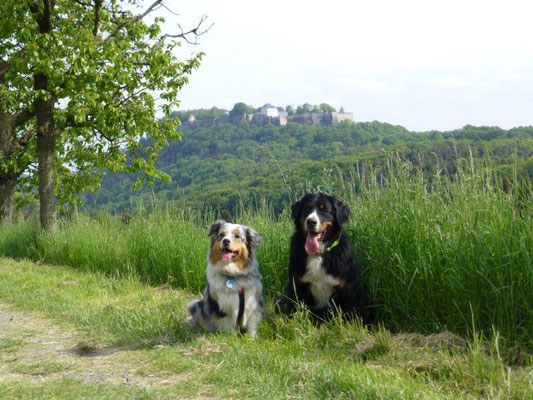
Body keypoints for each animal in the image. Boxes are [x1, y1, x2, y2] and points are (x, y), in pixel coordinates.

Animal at [274, 194, 370, 322]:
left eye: (324, 210)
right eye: (307, 209)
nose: (311, 221)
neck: (318, 254)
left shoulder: (348, 287)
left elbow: (351, 314)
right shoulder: (297, 284)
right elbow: (293, 310)